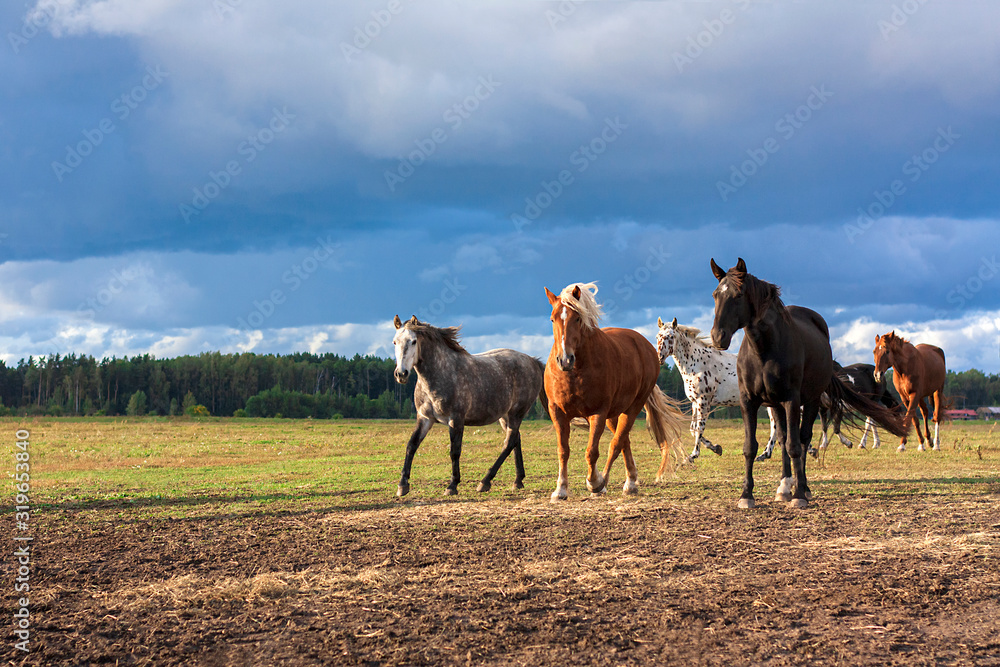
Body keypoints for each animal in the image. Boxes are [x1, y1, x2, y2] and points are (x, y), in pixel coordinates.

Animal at [392, 314, 546, 497]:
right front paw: (403, 485)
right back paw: (517, 481)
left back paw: (485, 481)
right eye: (395, 342)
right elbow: (411, 446)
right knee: (516, 439)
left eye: (413, 341)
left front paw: (452, 485)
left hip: (517, 413)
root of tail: (532, 361)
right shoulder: (425, 418)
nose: (401, 374)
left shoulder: (456, 420)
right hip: (505, 416)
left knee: (508, 443)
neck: (440, 373)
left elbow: (454, 451)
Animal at [544, 283, 687, 500]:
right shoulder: (557, 412)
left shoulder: (597, 413)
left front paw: (594, 482)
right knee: (624, 441)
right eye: (553, 318)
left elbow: (592, 451)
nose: (565, 359)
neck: (576, 372)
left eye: (577, 318)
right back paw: (630, 480)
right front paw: (560, 489)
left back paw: (613, 482)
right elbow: (563, 450)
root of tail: (644, 344)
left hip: (631, 408)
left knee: (617, 443)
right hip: (613, 414)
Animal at [655, 316, 780, 463]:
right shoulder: (694, 402)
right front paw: (716, 448)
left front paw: (693, 455)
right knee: (775, 426)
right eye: (658, 336)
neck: (698, 364)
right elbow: (693, 428)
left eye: (671, 336)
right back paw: (764, 455)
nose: (659, 358)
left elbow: (699, 427)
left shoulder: (703, 401)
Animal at [709, 258, 907, 509]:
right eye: (716, 294)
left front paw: (799, 495)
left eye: (738, 295)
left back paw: (802, 487)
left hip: (811, 401)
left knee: (803, 440)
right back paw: (784, 486)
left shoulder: (792, 401)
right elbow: (751, 447)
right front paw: (747, 495)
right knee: (783, 439)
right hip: (776, 405)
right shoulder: (750, 402)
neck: (763, 351)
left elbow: (795, 446)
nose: (718, 337)